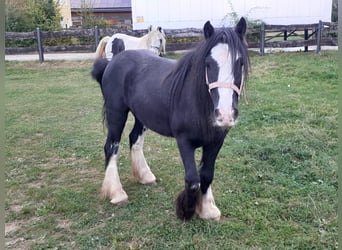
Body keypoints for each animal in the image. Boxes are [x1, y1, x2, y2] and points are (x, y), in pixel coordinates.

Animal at [91, 17, 250, 221]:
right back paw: (117, 193)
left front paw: (207, 209)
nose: (225, 115)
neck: (197, 102)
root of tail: (112, 62)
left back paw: (145, 176)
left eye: (240, 63)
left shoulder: (216, 142)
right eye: (208, 63)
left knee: (134, 139)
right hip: (116, 113)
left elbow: (206, 175)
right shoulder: (184, 141)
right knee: (111, 146)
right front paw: (186, 210)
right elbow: (193, 180)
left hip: (142, 115)